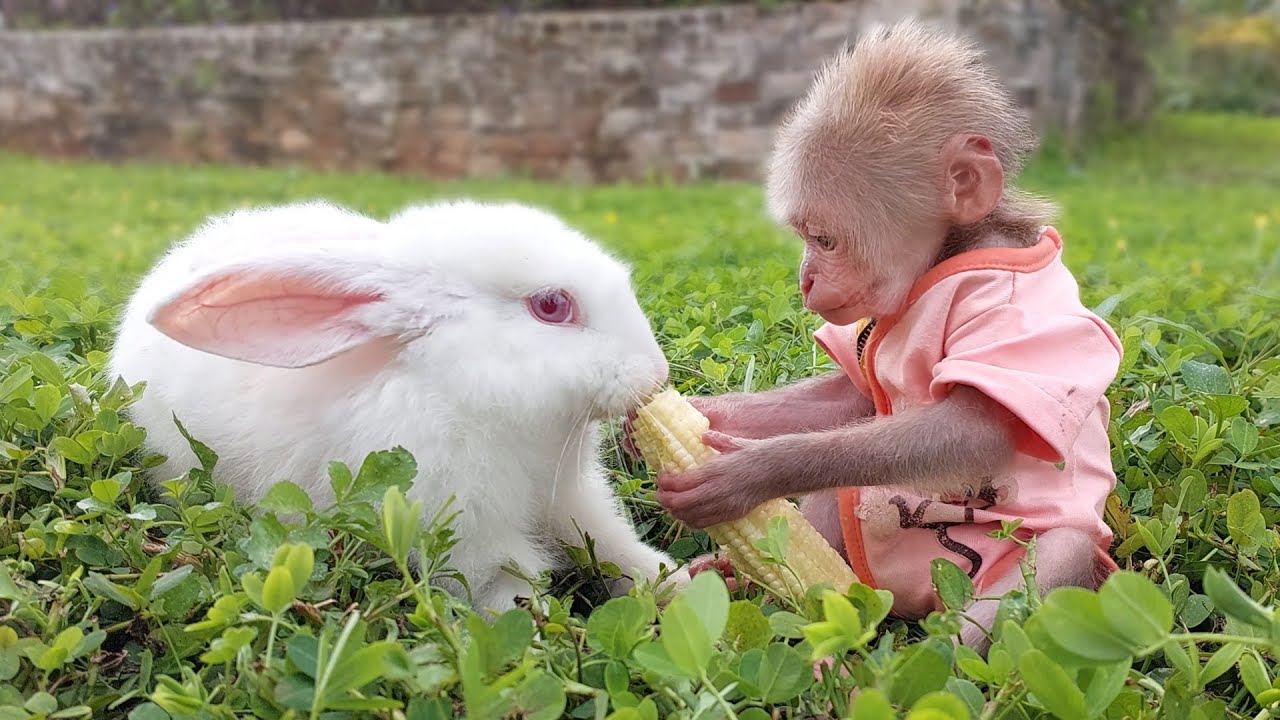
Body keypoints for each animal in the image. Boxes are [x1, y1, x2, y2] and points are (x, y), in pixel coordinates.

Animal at [107, 198, 690, 614]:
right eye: (551, 305)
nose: (657, 374)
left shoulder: (573, 496)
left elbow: (614, 544)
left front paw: (679, 581)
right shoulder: (470, 535)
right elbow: (511, 587)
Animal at [626, 19, 1123, 653]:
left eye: (825, 240)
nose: (806, 278)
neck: (948, 256)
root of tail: (904, 604)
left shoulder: (1017, 317)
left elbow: (972, 426)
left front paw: (751, 472)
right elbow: (849, 396)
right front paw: (683, 415)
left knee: (1050, 562)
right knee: (832, 508)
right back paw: (743, 588)